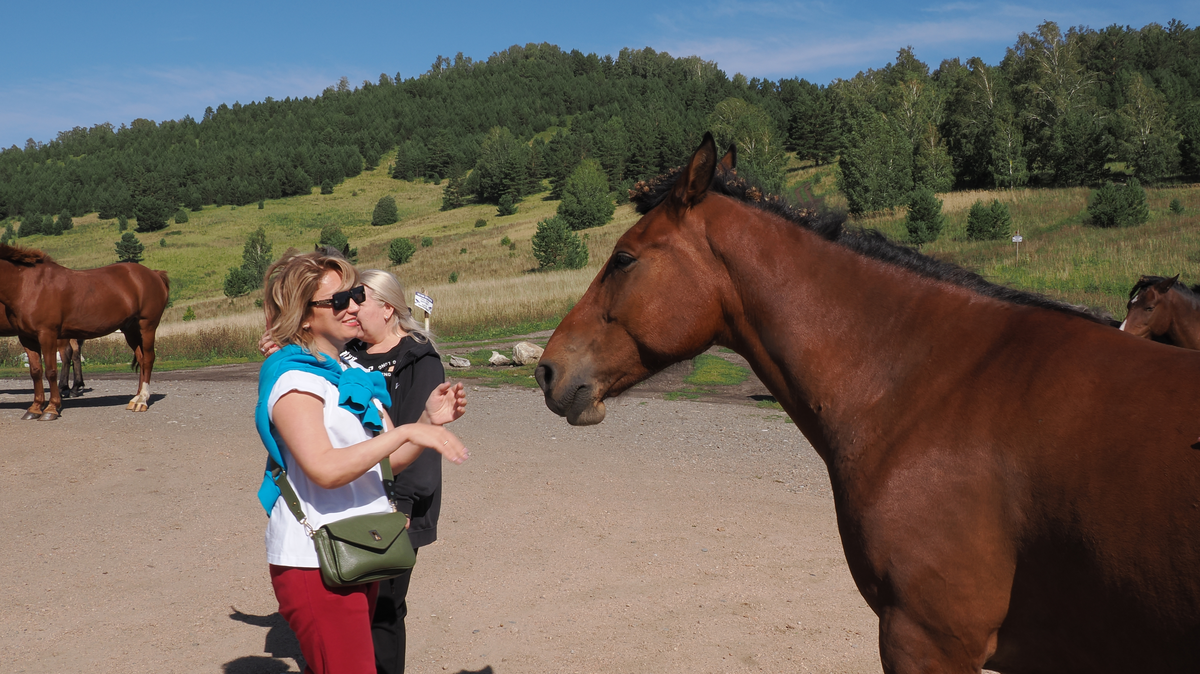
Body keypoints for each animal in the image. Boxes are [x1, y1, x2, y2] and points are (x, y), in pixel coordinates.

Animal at [0, 243, 169, 417]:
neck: (27, 285)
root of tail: (155, 274)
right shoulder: (26, 337)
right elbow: (35, 371)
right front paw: (34, 408)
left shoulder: (47, 334)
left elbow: (51, 371)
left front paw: (51, 408)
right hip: (130, 330)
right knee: (141, 359)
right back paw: (135, 399)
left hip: (147, 326)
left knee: (148, 359)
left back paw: (142, 400)